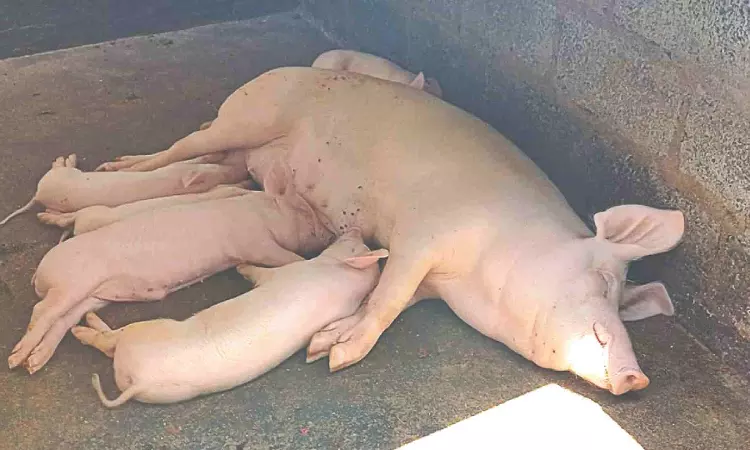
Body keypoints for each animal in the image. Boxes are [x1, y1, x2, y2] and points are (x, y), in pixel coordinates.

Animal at [7, 159, 333, 374]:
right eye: (305, 211)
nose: (330, 233)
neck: (263, 215)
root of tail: (39, 275)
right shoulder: (254, 243)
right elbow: (289, 259)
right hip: (71, 284)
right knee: (42, 311)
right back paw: (15, 360)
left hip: (93, 296)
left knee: (62, 320)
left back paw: (35, 363)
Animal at [71, 229, 388, 407]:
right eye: (359, 247)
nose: (356, 231)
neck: (339, 278)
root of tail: (139, 382)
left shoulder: (284, 275)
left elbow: (259, 273)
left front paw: (240, 265)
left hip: (144, 331)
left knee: (108, 341)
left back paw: (81, 326)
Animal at [93, 67, 685, 395]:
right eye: (604, 280)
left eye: (625, 298)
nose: (637, 378)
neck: (475, 283)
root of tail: (274, 72)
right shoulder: (425, 234)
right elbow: (388, 296)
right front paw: (333, 358)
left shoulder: (429, 277)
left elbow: (387, 297)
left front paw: (325, 344)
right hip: (248, 116)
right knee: (181, 148)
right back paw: (116, 167)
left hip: (241, 153)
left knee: (213, 168)